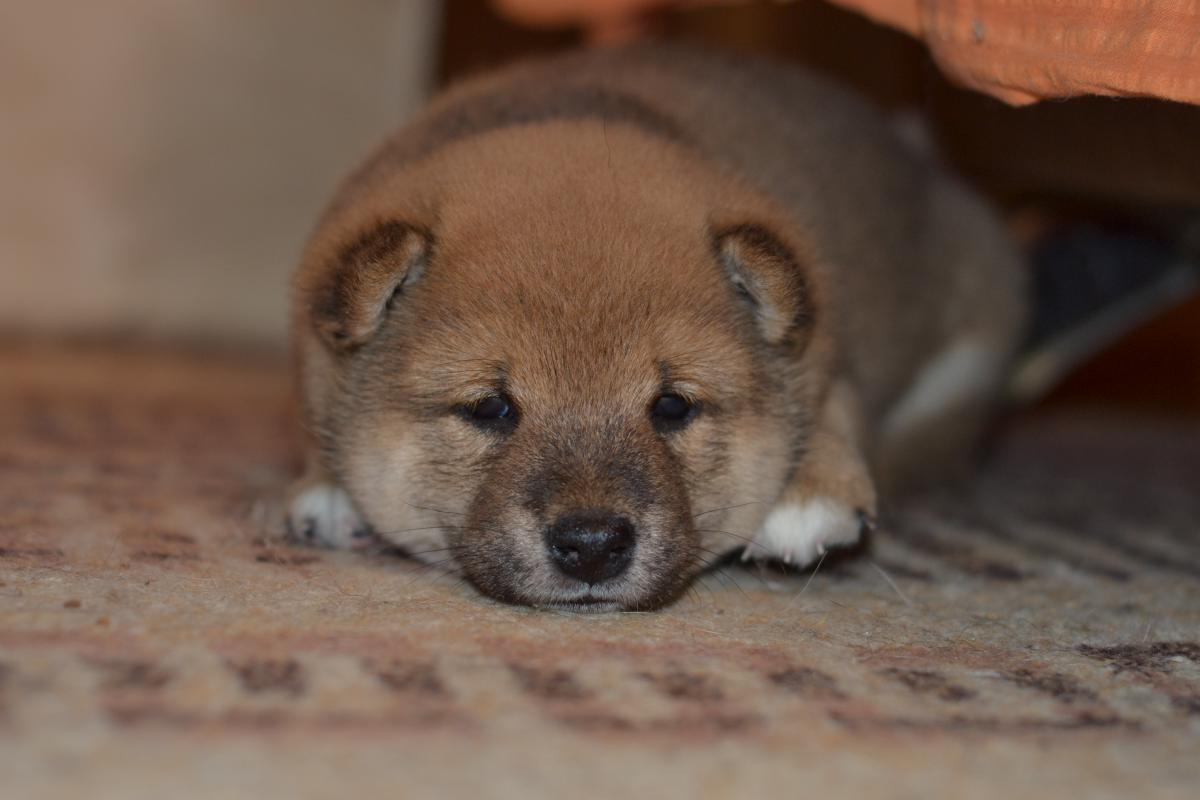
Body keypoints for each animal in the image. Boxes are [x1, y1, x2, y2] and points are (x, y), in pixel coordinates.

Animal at [286, 44, 1025, 611]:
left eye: (672, 406)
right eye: (490, 407)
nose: (592, 546)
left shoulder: (834, 357)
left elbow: (835, 406)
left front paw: (811, 488)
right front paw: (325, 482)